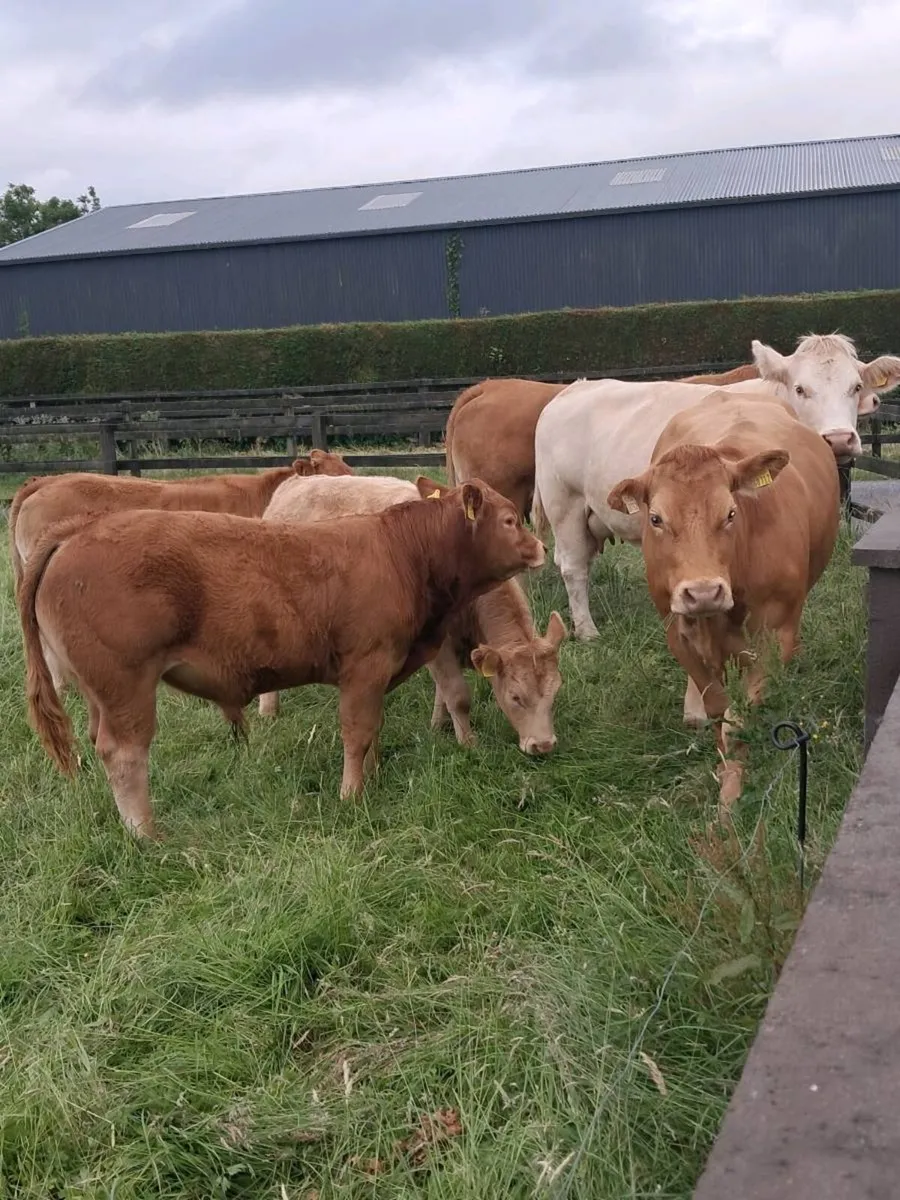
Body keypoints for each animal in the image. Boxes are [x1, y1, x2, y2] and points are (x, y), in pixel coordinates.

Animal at [258, 473, 567, 755]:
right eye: (516, 697)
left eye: (556, 692)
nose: (543, 745)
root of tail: (295, 482)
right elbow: (457, 693)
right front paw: (468, 743)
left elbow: (443, 690)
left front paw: (439, 723)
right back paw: (268, 710)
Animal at [532, 334, 900, 643]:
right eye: (800, 389)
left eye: (855, 387)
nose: (838, 439)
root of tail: (570, 390)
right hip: (565, 505)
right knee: (573, 568)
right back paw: (587, 631)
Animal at [606, 390, 840, 821]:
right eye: (655, 518)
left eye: (730, 513)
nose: (702, 592)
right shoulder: (678, 632)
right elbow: (718, 705)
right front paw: (721, 764)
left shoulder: (775, 632)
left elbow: (742, 716)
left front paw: (731, 793)